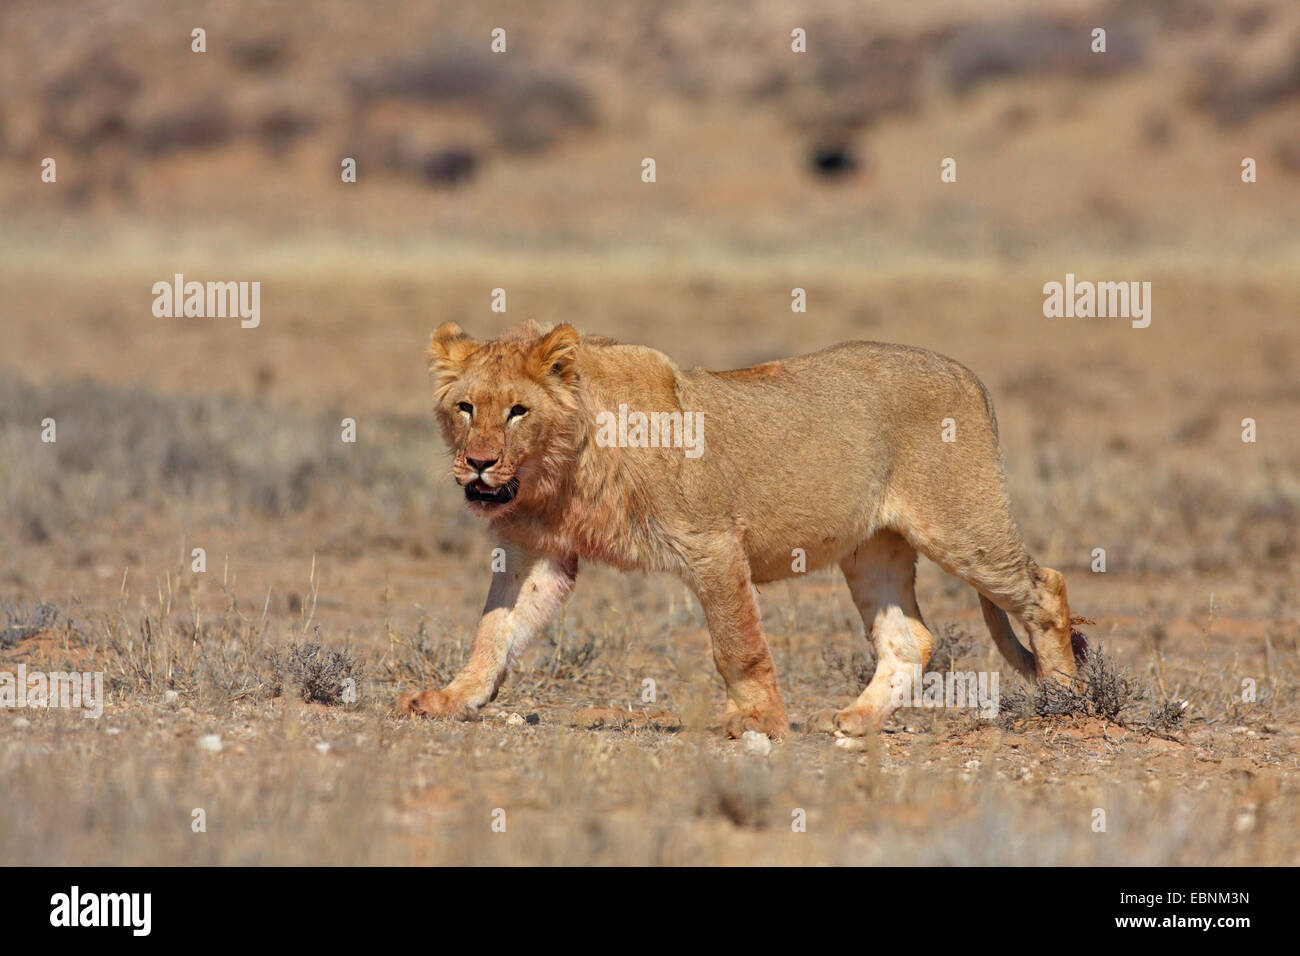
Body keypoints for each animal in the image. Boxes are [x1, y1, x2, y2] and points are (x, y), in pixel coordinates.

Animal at [392, 323, 1076, 738]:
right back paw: (856, 720)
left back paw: (1066, 700)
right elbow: (496, 631)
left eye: (518, 411)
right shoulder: (538, 553)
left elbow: (736, 642)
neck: (558, 473)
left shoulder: (711, 541)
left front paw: (757, 720)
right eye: (465, 408)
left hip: (961, 527)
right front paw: (453, 700)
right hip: (872, 548)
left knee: (1046, 586)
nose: (479, 462)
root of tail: (967, 374)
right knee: (911, 640)